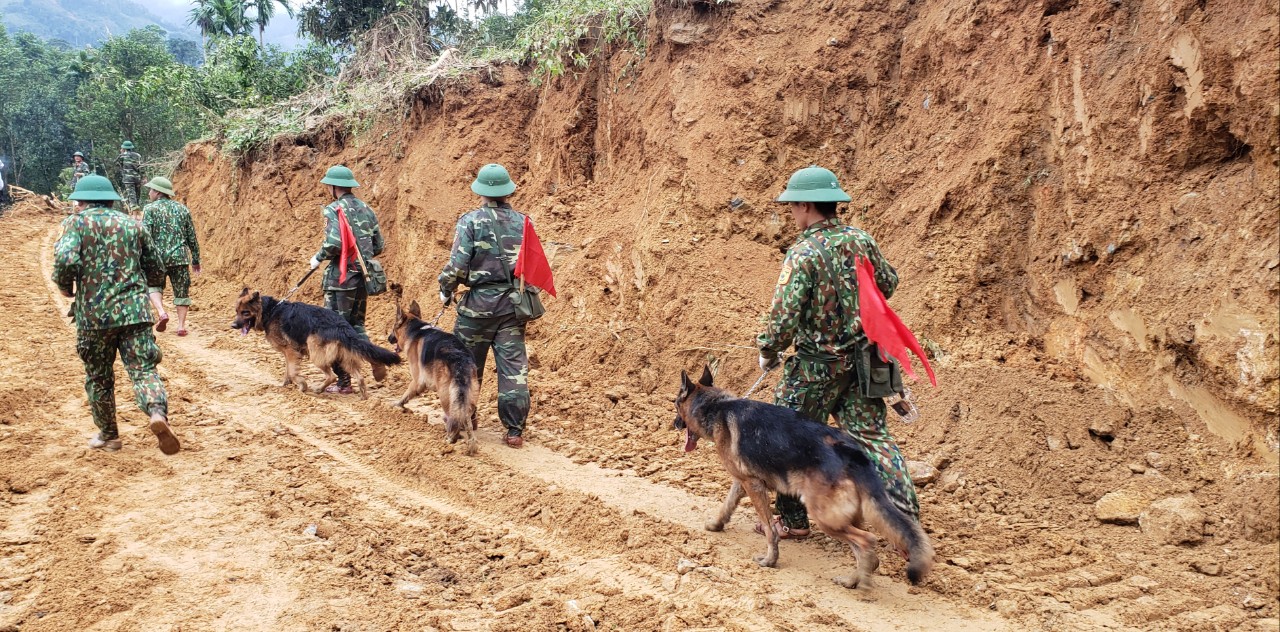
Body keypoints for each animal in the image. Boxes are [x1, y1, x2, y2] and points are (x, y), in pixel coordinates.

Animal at [230, 287, 399, 399]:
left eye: (245, 313)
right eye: (236, 311)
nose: (233, 325)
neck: (269, 311)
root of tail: (341, 325)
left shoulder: (291, 351)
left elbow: (292, 371)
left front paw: (302, 385)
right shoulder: (288, 353)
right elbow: (287, 370)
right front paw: (285, 385)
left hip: (316, 355)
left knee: (332, 376)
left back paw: (318, 389)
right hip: (344, 357)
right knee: (359, 376)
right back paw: (364, 397)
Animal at [384, 286, 481, 455]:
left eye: (393, 328)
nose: (389, 338)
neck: (416, 329)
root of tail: (461, 360)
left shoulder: (416, 381)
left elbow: (406, 394)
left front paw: (397, 406)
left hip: (445, 396)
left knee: (453, 418)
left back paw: (449, 440)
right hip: (468, 398)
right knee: (466, 419)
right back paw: (470, 444)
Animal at [675, 365, 936, 588]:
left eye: (675, 404)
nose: (674, 424)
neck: (716, 407)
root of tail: (849, 451)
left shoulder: (753, 485)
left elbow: (769, 530)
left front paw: (770, 560)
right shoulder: (744, 481)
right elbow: (727, 504)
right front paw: (717, 524)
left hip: (824, 516)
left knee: (866, 541)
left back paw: (862, 583)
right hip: (846, 515)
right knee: (866, 552)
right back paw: (853, 580)